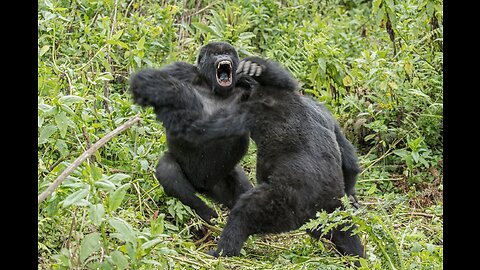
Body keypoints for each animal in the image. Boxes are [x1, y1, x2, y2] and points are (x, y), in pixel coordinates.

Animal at [127, 41, 255, 224]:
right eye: (215, 54)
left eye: (229, 53)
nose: (224, 57)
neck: (210, 85)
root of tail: (203, 188)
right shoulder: (181, 70)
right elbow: (144, 81)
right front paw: (183, 95)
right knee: (168, 168)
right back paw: (203, 210)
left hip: (219, 185)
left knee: (241, 182)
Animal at [209, 56, 364, 262]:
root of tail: (327, 205)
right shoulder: (323, 111)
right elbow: (349, 159)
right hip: (330, 216)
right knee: (346, 231)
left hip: (287, 206)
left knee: (247, 211)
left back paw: (223, 250)